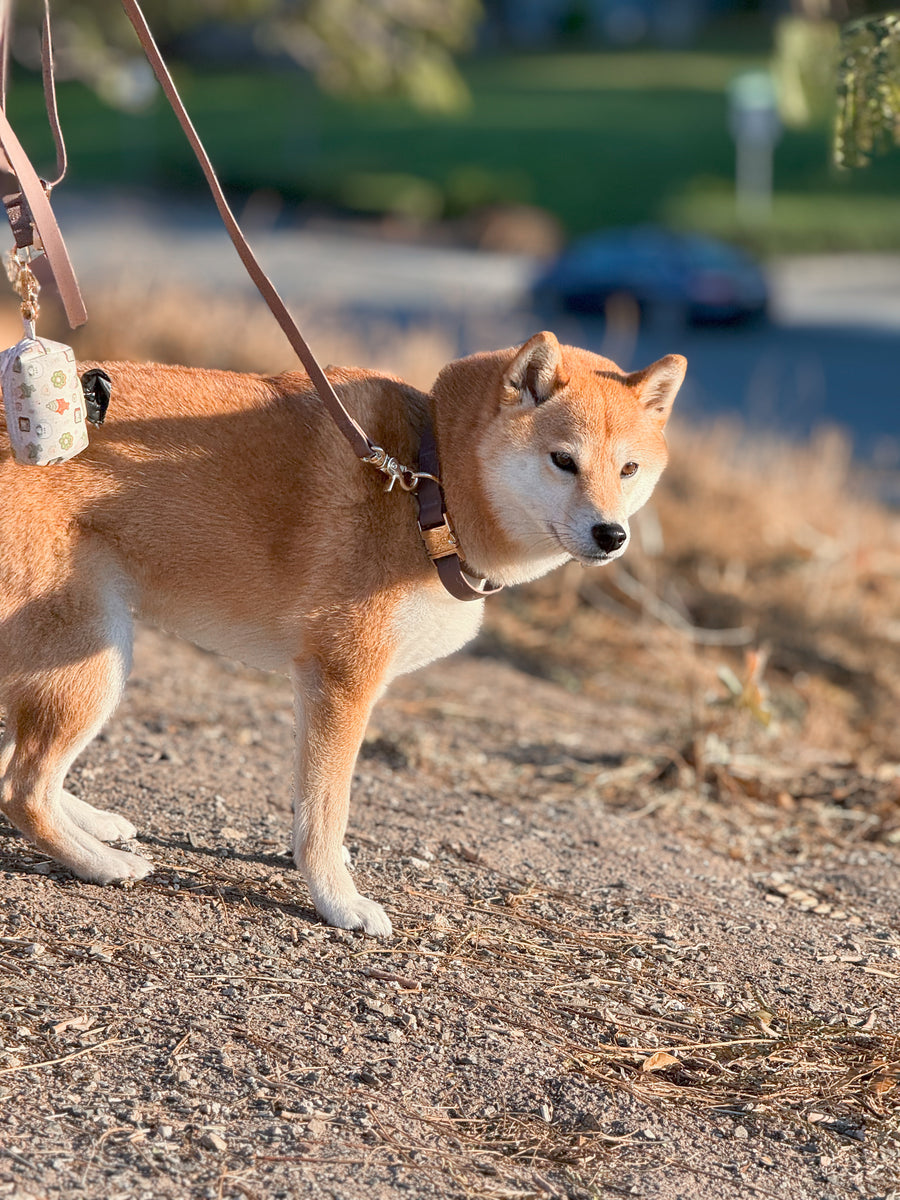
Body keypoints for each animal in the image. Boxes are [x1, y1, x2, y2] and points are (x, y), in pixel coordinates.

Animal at [0, 331, 681, 936]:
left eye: (628, 469)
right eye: (563, 461)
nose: (611, 534)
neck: (430, 486)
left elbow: (314, 805)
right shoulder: (342, 682)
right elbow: (328, 810)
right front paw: (338, 901)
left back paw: (92, 825)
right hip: (93, 655)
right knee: (22, 790)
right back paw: (104, 863)